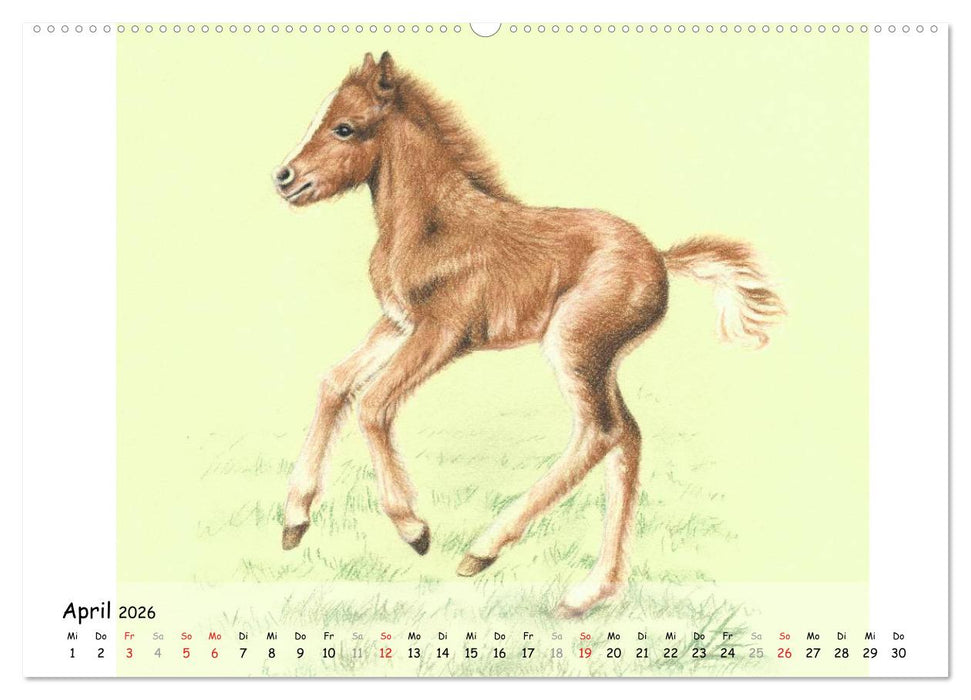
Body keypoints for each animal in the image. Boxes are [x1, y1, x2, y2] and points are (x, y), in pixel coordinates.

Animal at [273, 52, 784, 617]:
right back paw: (589, 592)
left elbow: (374, 404)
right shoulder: (396, 323)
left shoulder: (444, 332)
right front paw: (295, 521)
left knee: (600, 433)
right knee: (627, 437)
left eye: (345, 127)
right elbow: (335, 384)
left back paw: (484, 550)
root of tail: (661, 258)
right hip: (601, 361)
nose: (284, 178)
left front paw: (414, 529)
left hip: (572, 348)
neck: (432, 225)